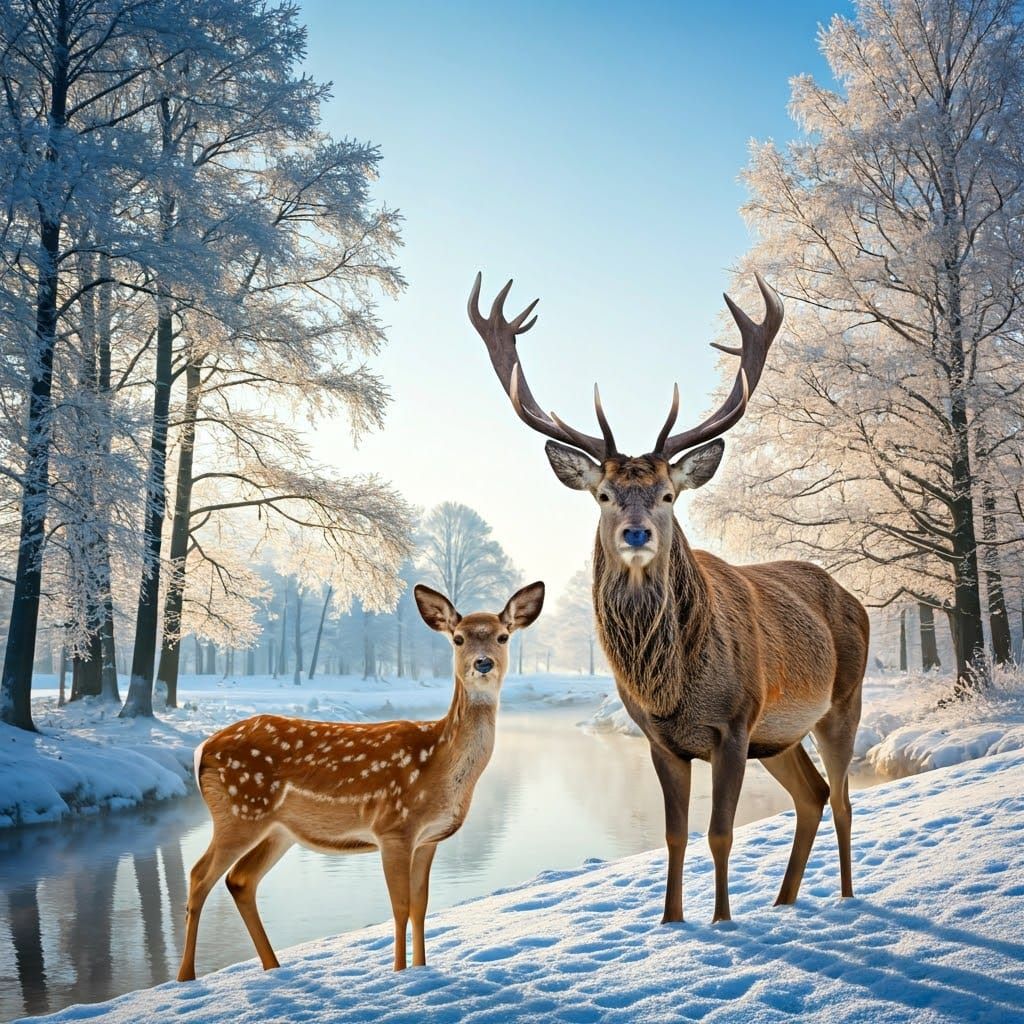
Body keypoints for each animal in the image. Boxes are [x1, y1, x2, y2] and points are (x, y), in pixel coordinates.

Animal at [177, 580, 544, 979]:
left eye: (503, 636)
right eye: (458, 639)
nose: (483, 663)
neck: (439, 763)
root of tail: (201, 749)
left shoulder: (428, 839)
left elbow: (421, 907)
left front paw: (421, 970)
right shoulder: (393, 827)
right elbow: (400, 907)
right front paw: (399, 973)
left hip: (277, 830)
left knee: (240, 880)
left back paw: (273, 968)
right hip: (239, 811)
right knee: (199, 875)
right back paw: (186, 978)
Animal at [468, 272, 869, 925]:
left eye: (668, 495)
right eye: (604, 494)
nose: (637, 534)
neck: (671, 688)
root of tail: (853, 599)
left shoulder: (734, 724)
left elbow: (720, 833)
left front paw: (722, 921)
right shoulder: (661, 741)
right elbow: (674, 835)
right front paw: (671, 920)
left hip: (842, 701)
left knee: (842, 800)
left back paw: (846, 897)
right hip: (779, 736)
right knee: (811, 796)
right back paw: (783, 901)